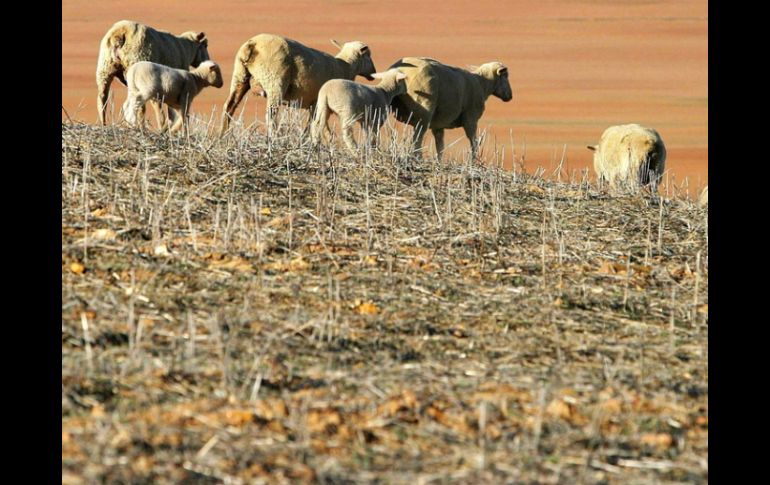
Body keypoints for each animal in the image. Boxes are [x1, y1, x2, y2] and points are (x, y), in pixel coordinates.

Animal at [219, 33, 376, 133]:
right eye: (369, 55)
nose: (373, 73)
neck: (345, 66)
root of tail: (253, 44)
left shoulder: (315, 104)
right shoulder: (318, 104)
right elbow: (315, 125)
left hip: (240, 76)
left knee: (229, 107)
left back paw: (223, 136)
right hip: (275, 81)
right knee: (271, 115)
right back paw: (274, 139)